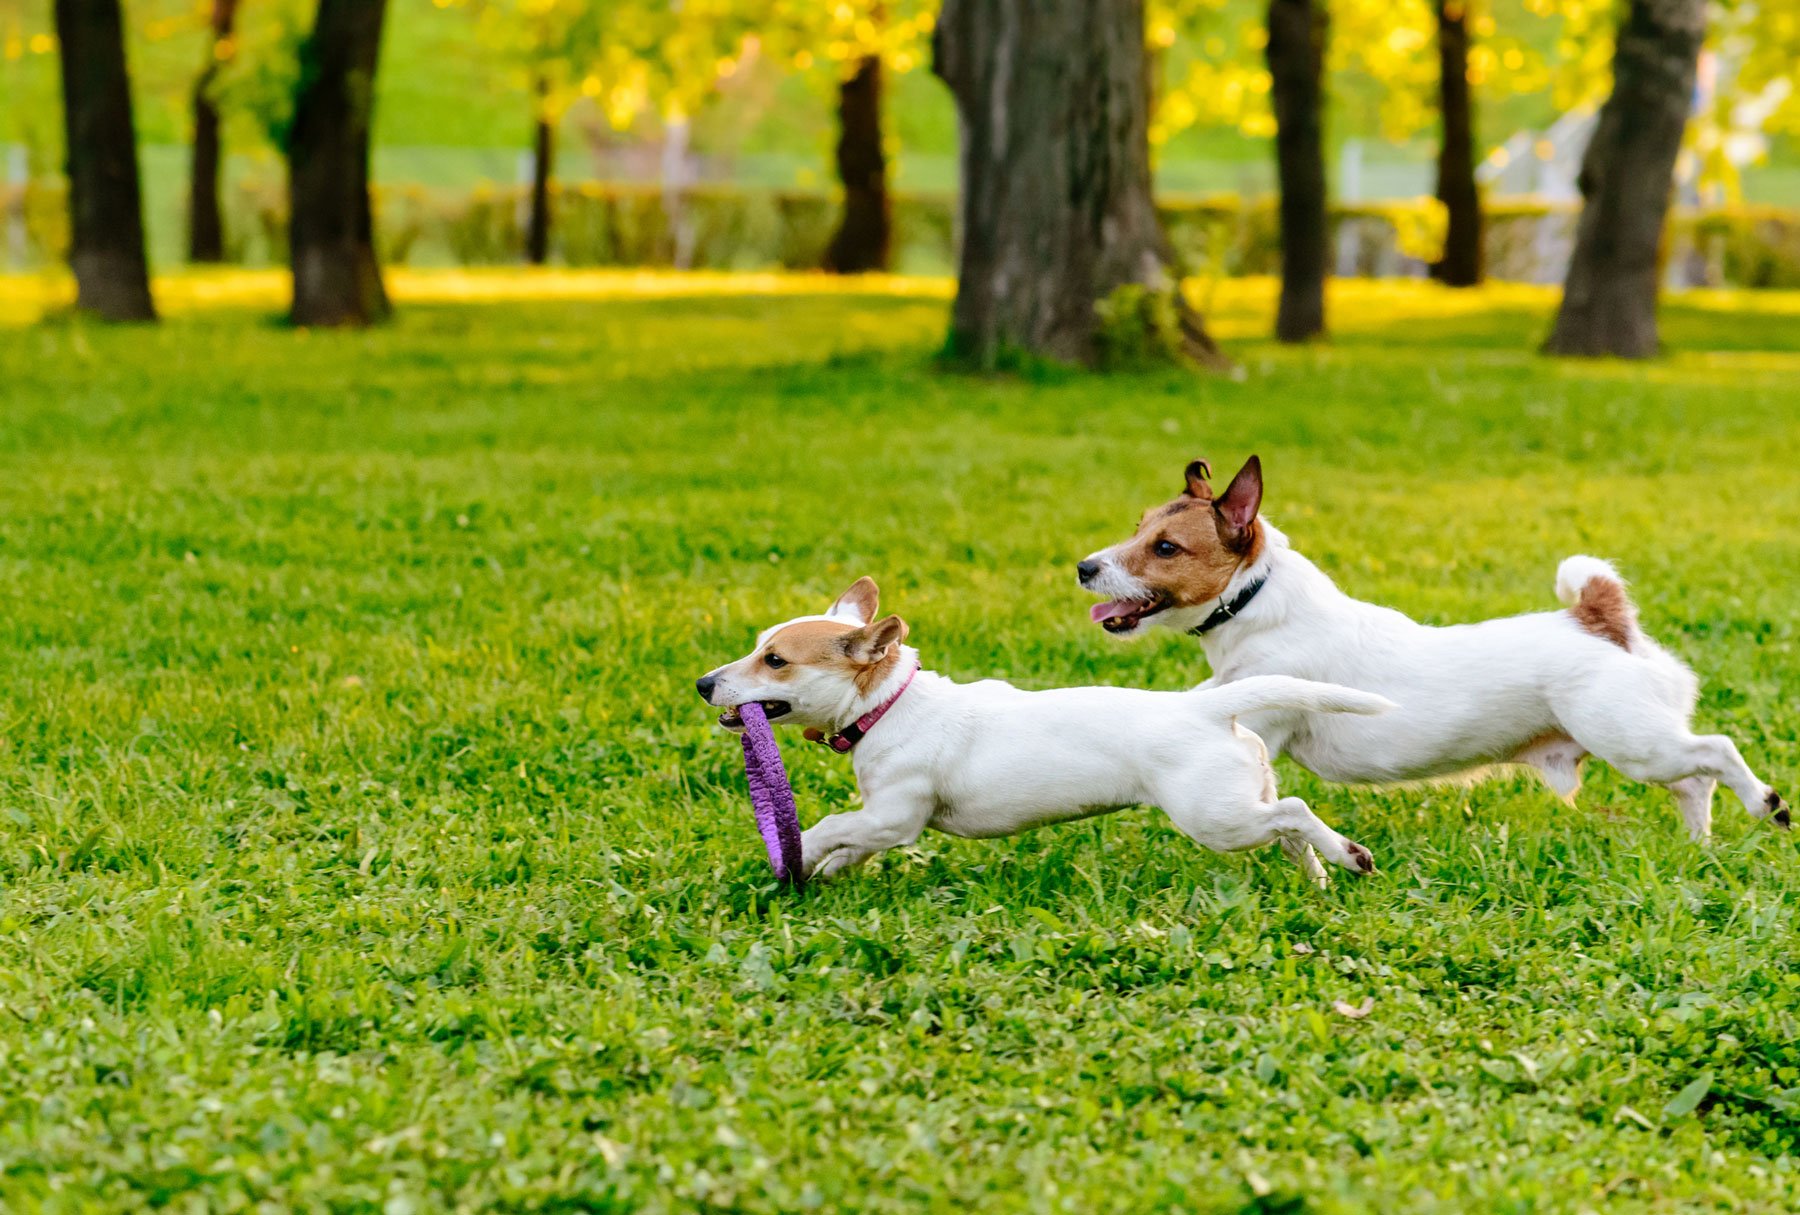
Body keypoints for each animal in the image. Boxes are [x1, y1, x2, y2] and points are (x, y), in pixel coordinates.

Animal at [1072, 451, 1792, 842]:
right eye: (1137, 527)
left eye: (1166, 547)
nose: (1083, 566)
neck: (1258, 602)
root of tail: (1599, 618)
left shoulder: (1266, 716)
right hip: (1645, 747)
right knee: (1694, 782)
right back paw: (1699, 845)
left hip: (1633, 739)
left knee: (1716, 753)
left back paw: (1766, 804)